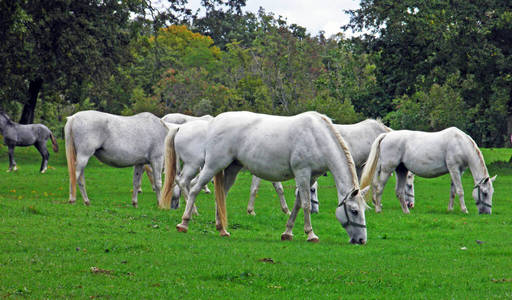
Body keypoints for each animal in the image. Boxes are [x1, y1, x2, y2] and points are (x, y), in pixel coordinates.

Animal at [160, 111, 368, 245]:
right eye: (354, 211)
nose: (362, 240)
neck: (316, 136)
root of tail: (214, 123)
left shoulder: (309, 177)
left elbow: (297, 204)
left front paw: (287, 232)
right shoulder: (302, 172)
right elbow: (306, 204)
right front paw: (311, 234)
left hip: (231, 170)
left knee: (221, 197)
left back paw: (222, 229)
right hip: (211, 166)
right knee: (194, 188)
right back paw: (184, 222)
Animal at [360, 127, 496, 214]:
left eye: (491, 193)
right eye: (484, 193)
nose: (487, 212)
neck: (460, 143)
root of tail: (386, 136)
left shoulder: (457, 171)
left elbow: (453, 192)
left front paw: (450, 209)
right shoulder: (454, 169)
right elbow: (460, 190)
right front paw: (464, 210)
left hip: (401, 170)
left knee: (399, 192)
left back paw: (406, 211)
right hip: (387, 170)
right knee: (379, 188)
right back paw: (378, 209)